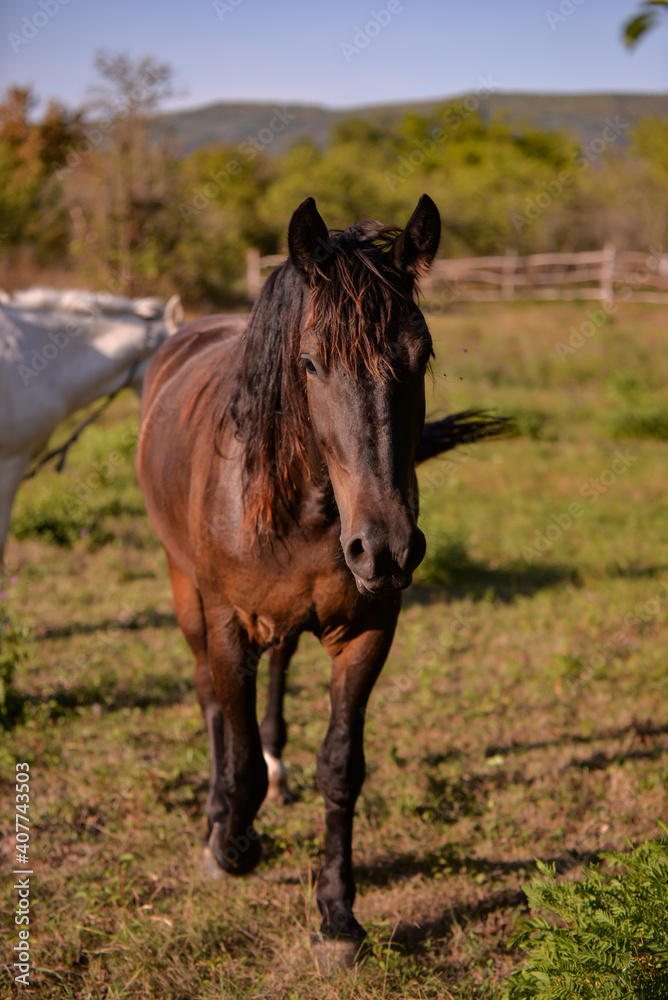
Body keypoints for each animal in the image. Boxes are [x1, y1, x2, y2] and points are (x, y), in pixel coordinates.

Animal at [136, 195, 498, 960]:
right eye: (308, 363)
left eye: (420, 356)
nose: (385, 549)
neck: (303, 508)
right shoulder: (227, 623)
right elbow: (235, 744)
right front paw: (232, 845)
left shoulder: (367, 630)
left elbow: (341, 766)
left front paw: (337, 913)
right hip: (184, 588)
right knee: (211, 701)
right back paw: (218, 818)